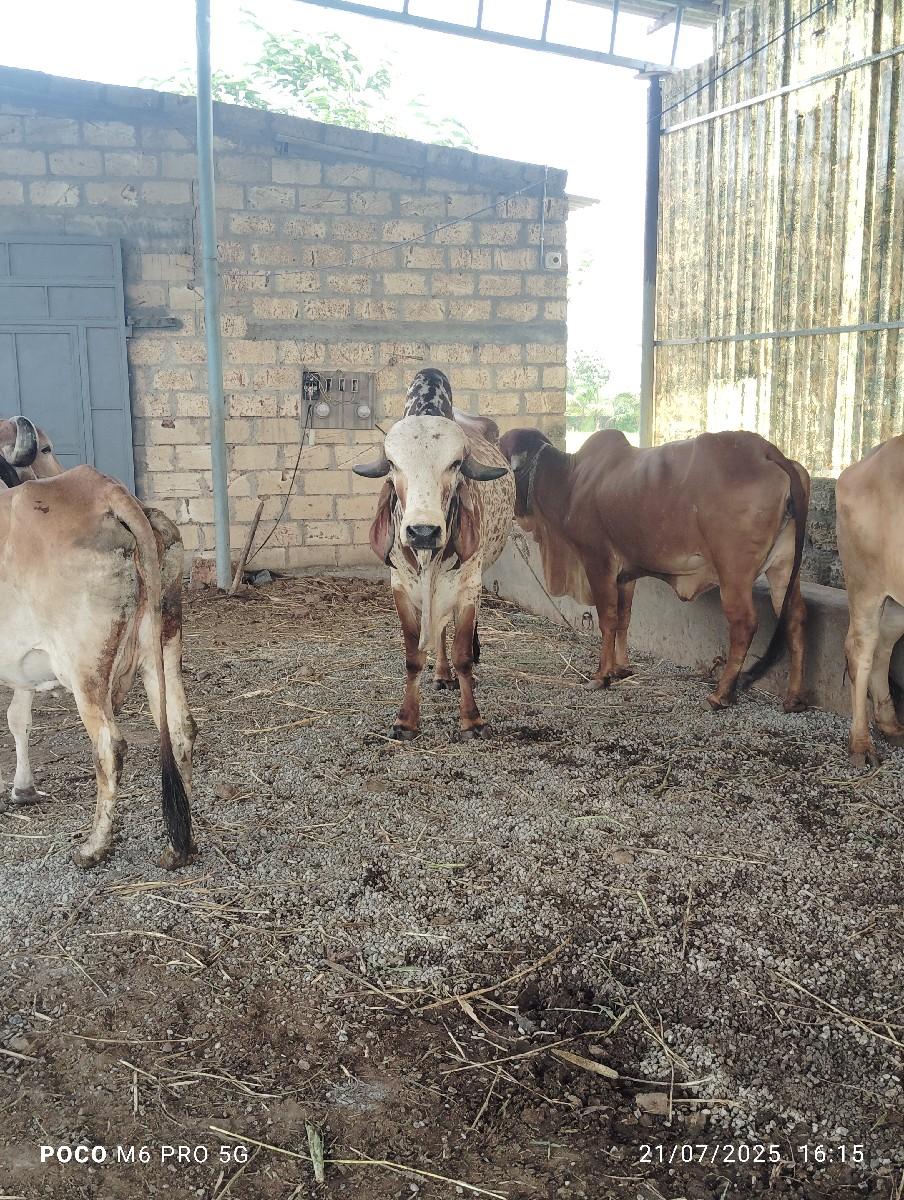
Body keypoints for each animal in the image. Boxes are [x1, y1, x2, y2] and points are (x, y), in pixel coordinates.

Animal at [0, 421, 195, 868]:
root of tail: (106, 491)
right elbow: (19, 718)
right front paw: (23, 788)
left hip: (83, 667)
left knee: (109, 745)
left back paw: (94, 845)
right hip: (164, 639)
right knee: (180, 725)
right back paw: (181, 842)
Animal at [354, 413, 514, 738]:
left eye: (454, 464)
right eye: (392, 463)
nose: (423, 531)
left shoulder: (469, 589)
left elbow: (462, 655)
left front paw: (472, 720)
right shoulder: (401, 590)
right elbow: (413, 658)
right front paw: (406, 720)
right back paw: (441, 674)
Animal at [499, 427, 810, 712]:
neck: (569, 479)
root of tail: (768, 451)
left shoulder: (597, 561)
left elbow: (607, 619)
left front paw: (601, 675)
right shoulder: (625, 574)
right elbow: (624, 618)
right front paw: (621, 668)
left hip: (734, 572)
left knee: (745, 623)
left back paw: (721, 694)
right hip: (783, 567)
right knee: (794, 618)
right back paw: (793, 698)